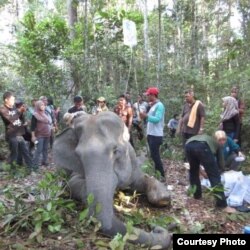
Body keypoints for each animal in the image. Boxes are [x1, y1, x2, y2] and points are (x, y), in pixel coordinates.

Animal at [53, 112, 172, 250]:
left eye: (116, 151)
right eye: (78, 155)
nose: (155, 228)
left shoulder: (132, 164)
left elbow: (143, 179)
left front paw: (163, 198)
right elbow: (72, 183)